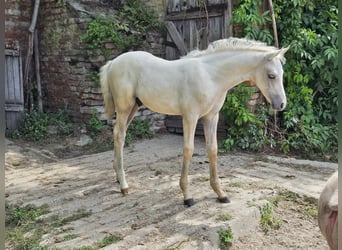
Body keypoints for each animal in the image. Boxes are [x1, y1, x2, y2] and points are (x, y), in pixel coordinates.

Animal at [99, 36, 288, 205]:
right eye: (271, 75)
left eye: (282, 74)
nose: (281, 104)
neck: (211, 76)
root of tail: (113, 63)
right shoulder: (190, 116)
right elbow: (188, 150)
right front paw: (187, 196)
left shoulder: (211, 117)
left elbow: (212, 149)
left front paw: (220, 193)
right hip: (124, 107)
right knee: (120, 135)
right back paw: (124, 185)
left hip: (134, 107)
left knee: (118, 133)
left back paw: (118, 177)